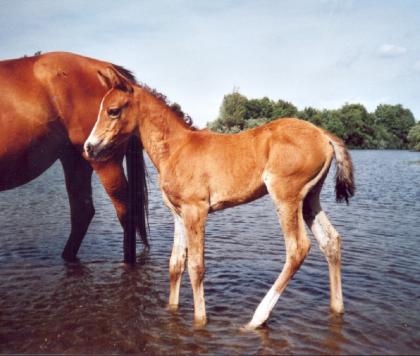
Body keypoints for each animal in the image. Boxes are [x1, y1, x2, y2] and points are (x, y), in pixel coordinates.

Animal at [84, 68, 354, 330]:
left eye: (113, 111)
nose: (89, 147)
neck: (176, 149)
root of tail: (323, 134)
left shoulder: (196, 210)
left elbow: (196, 267)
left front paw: (200, 320)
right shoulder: (178, 214)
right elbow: (175, 265)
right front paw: (172, 309)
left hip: (286, 195)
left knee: (297, 248)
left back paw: (257, 318)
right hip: (310, 198)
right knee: (331, 241)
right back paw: (337, 307)